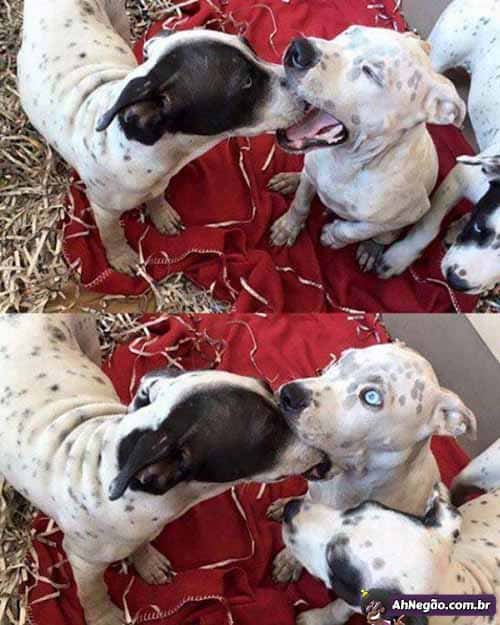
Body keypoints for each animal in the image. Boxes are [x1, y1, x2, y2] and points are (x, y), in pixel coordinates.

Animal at [0, 314, 331, 625]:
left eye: (268, 387)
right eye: (269, 433)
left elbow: (141, 544)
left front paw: (146, 561)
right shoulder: (84, 561)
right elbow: (92, 592)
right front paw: (103, 616)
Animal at [17, 0, 306, 274]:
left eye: (251, 47)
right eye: (246, 82)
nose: (310, 91)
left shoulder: (158, 181)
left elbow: (157, 197)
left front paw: (162, 215)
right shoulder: (103, 209)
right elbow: (112, 234)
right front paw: (121, 257)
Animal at [267, 26, 465, 276]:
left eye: (371, 73)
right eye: (347, 32)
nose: (299, 49)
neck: (345, 162)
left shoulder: (409, 213)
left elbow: (356, 230)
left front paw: (333, 236)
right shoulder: (311, 173)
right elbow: (300, 202)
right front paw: (288, 226)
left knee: (383, 237)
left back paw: (371, 250)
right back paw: (289, 180)